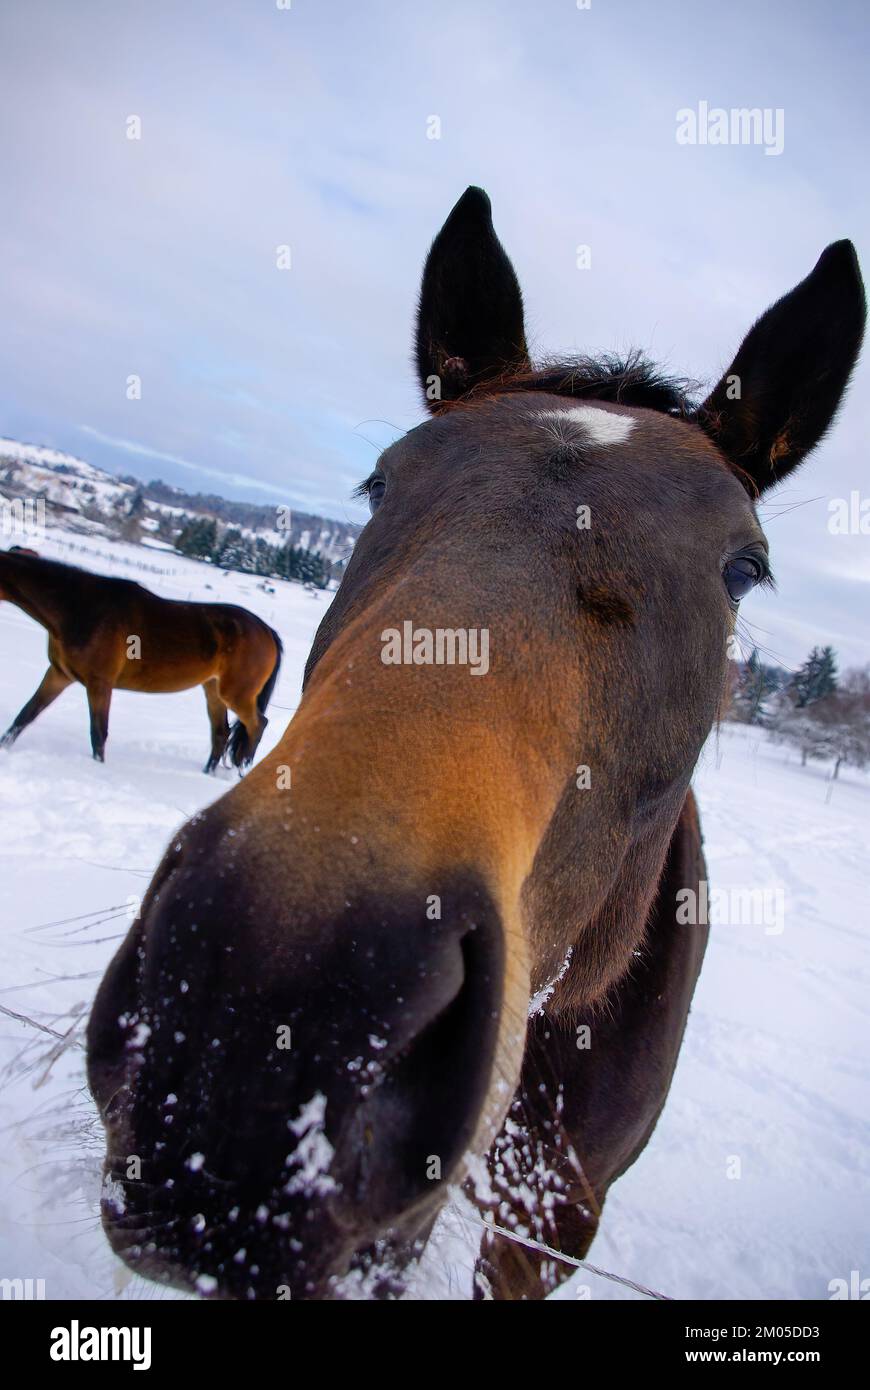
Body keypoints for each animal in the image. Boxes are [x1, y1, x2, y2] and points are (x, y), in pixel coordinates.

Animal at [0, 547, 279, 772]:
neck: (82, 609)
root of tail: (267, 631)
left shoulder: (100, 683)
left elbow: (98, 733)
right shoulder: (59, 674)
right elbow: (25, 715)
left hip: (237, 694)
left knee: (257, 725)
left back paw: (244, 766)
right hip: (213, 690)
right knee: (221, 734)